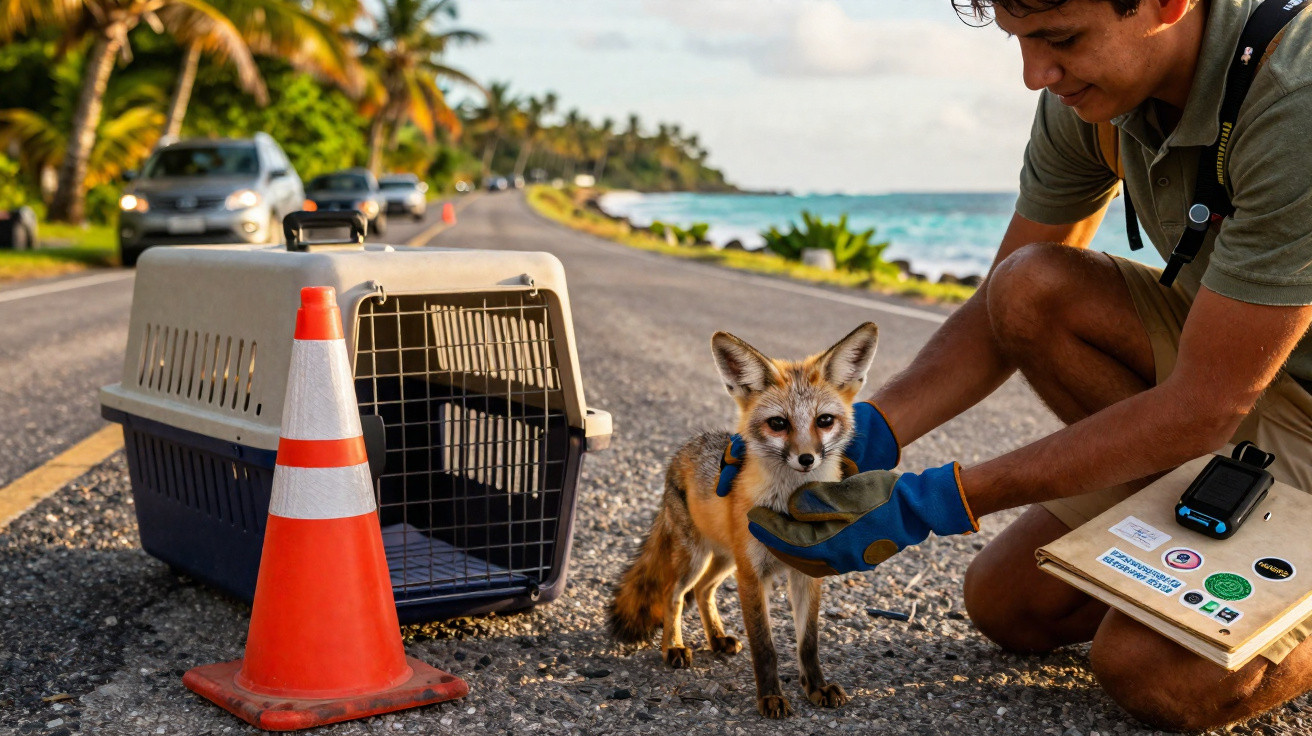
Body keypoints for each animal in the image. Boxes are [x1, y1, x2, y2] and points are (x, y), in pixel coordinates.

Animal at [606, 322, 881, 718]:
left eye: (824, 421)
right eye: (778, 423)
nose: (807, 459)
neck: (786, 504)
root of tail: (684, 449)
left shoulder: (806, 572)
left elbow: (808, 642)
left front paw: (816, 687)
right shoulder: (753, 575)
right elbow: (764, 646)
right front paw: (770, 697)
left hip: (725, 560)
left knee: (703, 591)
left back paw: (717, 638)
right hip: (699, 558)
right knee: (676, 594)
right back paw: (673, 647)